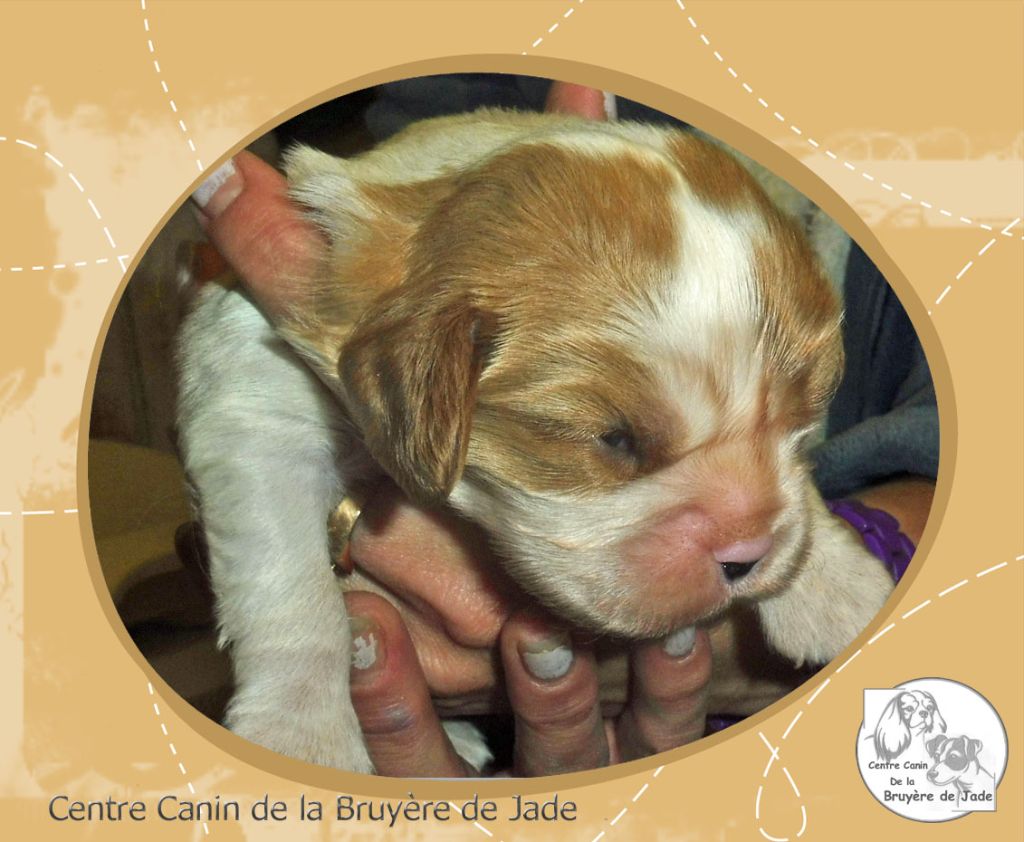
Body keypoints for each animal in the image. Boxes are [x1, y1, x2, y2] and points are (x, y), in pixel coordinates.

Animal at [176, 109, 894, 772]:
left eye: (798, 425)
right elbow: (292, 592)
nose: (747, 555)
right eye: (614, 440)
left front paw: (839, 587)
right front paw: (301, 735)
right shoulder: (261, 414)